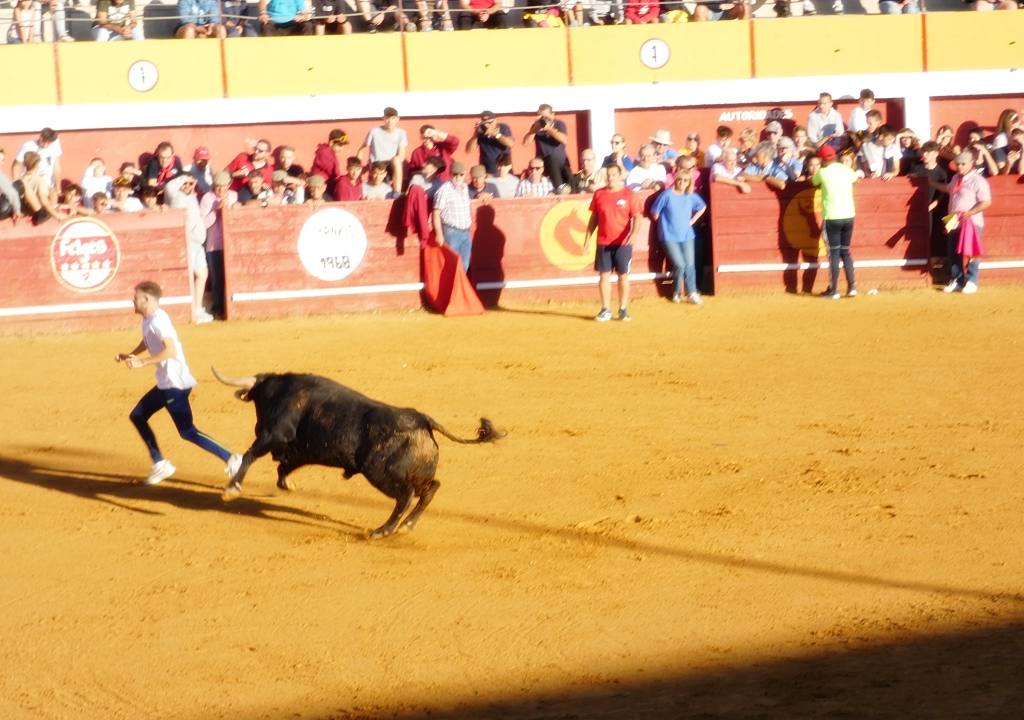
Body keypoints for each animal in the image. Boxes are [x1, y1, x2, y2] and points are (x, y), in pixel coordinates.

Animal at [214, 368, 501, 536]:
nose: (256, 425)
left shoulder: (272, 436)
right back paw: (406, 526)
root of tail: (422, 420)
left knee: (405, 496)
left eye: (259, 399)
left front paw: (231, 490)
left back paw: (383, 531)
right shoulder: (297, 450)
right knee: (431, 489)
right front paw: (288, 485)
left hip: (380, 472)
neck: (279, 390)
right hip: (417, 473)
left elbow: (250, 456)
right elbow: (283, 467)